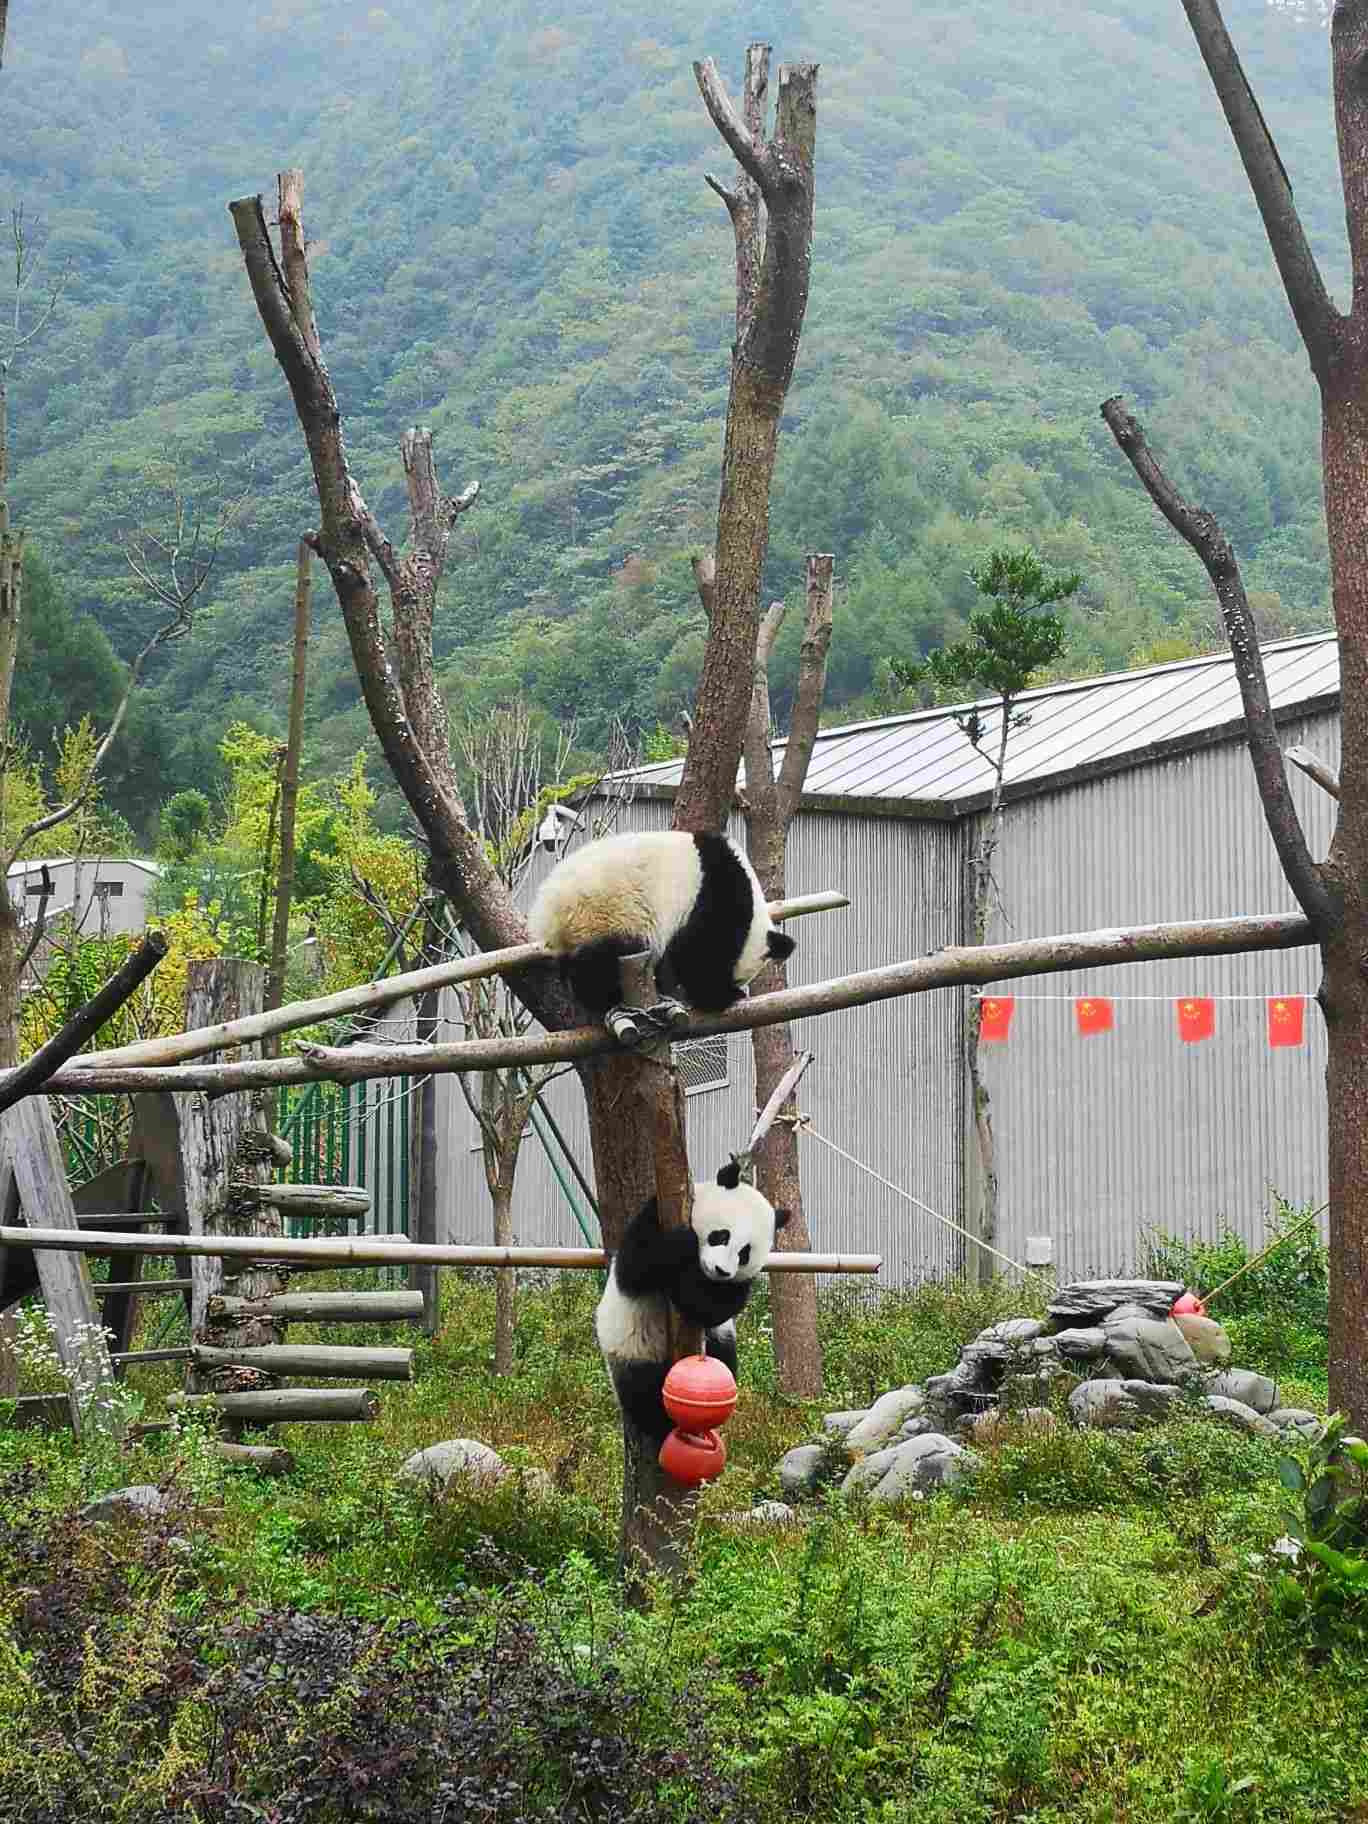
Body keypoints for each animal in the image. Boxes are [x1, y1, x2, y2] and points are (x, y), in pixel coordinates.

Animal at [598, 1160, 791, 1444]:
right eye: (721, 1235)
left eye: (745, 1254)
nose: (721, 1270)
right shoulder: (652, 1217)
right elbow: (637, 1267)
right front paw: (682, 1243)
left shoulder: (736, 1283)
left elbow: (710, 1308)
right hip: (631, 1348)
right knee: (641, 1391)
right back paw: (661, 1418)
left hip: (717, 1343)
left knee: (724, 1358)